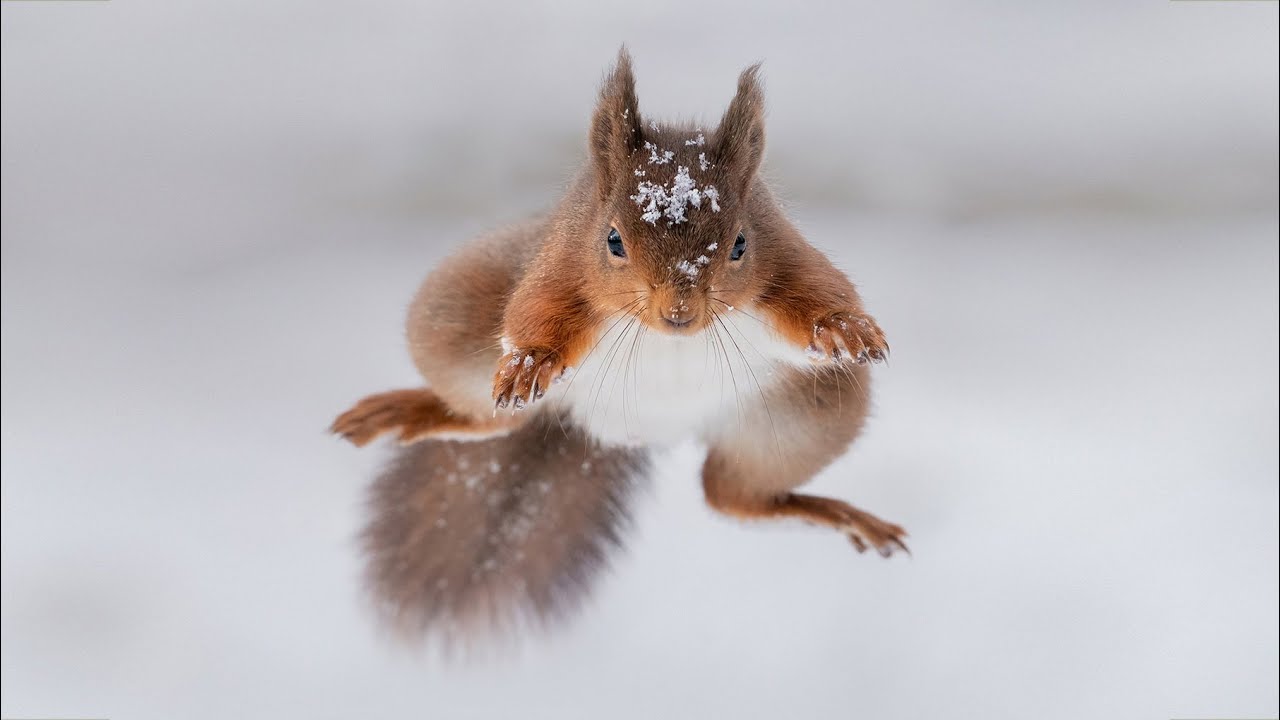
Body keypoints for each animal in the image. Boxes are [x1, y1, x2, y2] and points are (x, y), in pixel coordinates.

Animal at [332, 49, 907, 644]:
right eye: (613, 240)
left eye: (740, 245)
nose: (679, 312)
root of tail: (618, 432)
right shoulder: (561, 263)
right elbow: (536, 310)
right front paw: (531, 360)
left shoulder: (787, 255)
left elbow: (820, 289)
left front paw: (845, 328)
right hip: (457, 319)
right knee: (493, 421)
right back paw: (408, 411)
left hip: (806, 416)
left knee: (730, 496)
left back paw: (839, 514)